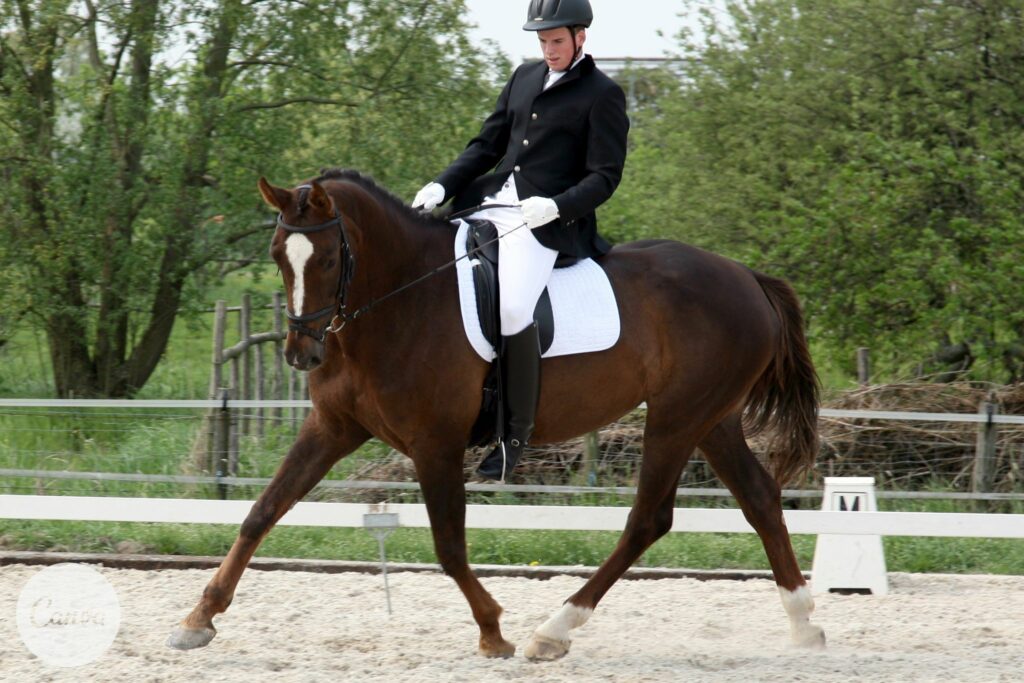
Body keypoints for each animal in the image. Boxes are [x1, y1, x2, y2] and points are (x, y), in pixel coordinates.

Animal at [167, 171, 823, 663]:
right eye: (279, 256)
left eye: (328, 259)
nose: (302, 354)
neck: (398, 298)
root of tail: (746, 276)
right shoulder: (333, 428)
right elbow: (262, 511)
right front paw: (199, 618)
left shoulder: (435, 444)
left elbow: (449, 545)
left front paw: (493, 631)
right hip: (712, 419)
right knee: (759, 498)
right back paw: (803, 622)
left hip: (675, 419)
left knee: (648, 520)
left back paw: (553, 630)